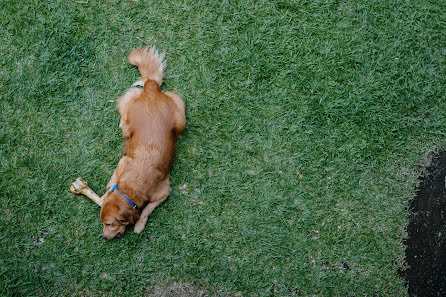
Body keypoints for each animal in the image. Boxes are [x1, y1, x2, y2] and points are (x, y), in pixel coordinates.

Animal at [72, 47, 184, 239]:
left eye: (109, 224)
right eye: (103, 222)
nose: (104, 237)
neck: (131, 187)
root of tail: (151, 88)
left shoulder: (164, 191)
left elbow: (147, 209)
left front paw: (139, 224)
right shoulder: (123, 160)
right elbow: (114, 178)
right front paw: (109, 188)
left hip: (181, 121)